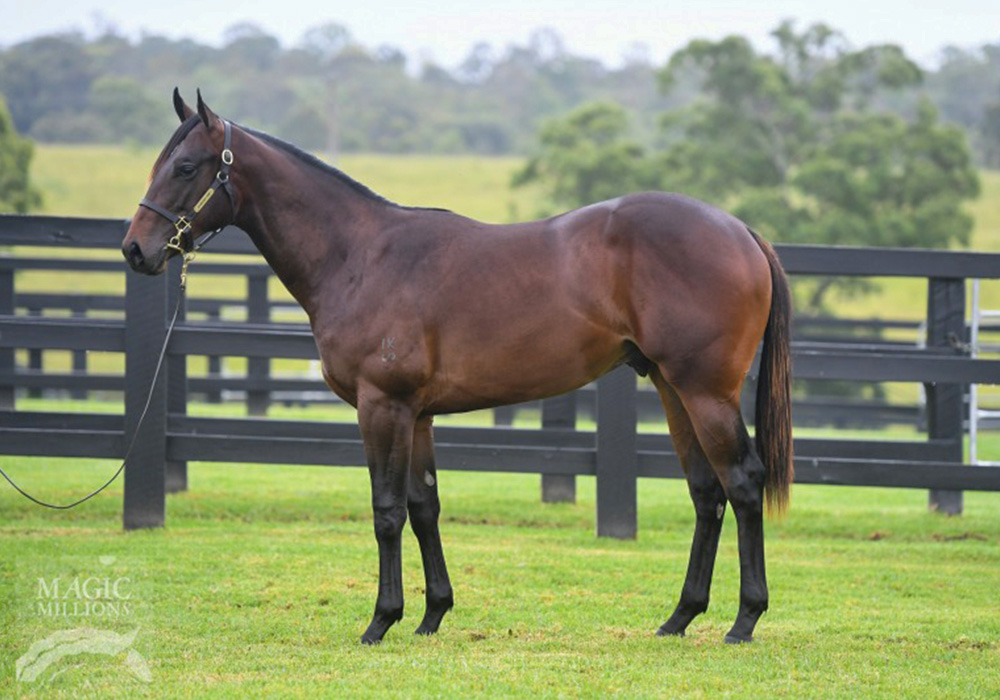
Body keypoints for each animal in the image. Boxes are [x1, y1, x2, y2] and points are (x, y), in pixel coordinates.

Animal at [121, 91, 792, 644]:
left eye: (187, 168)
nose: (135, 249)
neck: (362, 257)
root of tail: (740, 230)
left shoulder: (382, 406)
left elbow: (387, 510)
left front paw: (380, 621)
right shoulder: (417, 415)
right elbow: (424, 506)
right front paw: (431, 615)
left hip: (706, 392)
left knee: (742, 483)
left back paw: (744, 620)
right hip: (675, 390)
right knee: (706, 492)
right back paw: (680, 617)